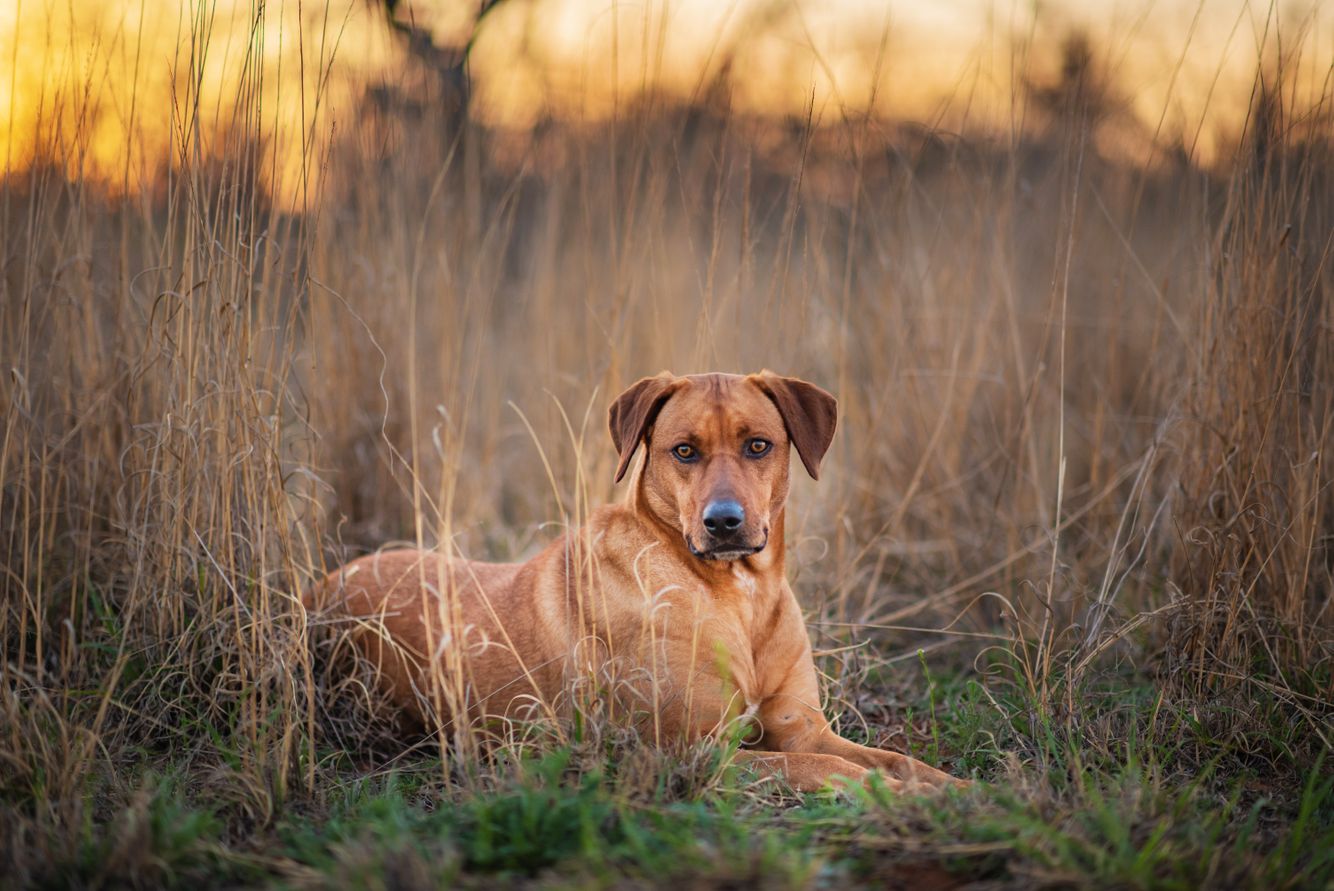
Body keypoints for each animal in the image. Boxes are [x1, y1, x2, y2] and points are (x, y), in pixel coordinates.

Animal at [306, 373, 965, 789]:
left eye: (759, 445)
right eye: (683, 451)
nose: (723, 522)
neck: (736, 595)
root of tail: (324, 583)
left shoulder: (802, 729)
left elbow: (893, 759)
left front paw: (958, 791)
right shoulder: (701, 752)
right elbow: (830, 771)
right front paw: (899, 797)